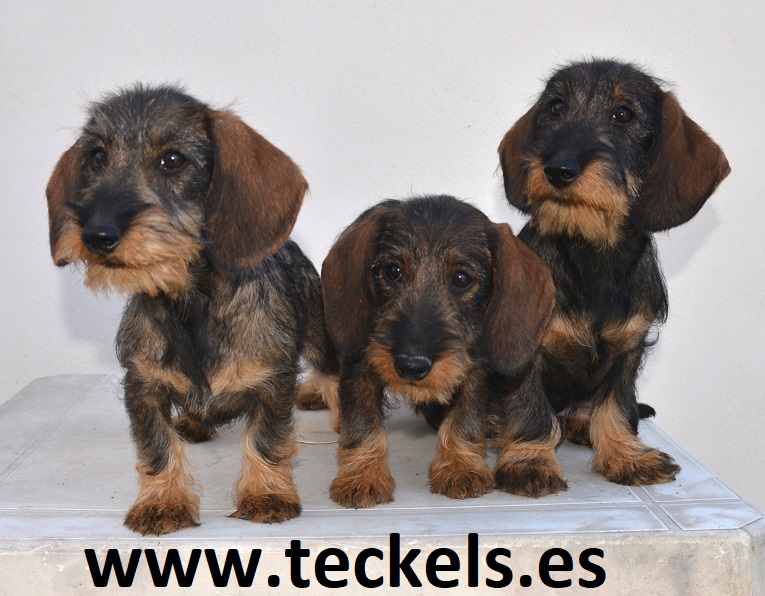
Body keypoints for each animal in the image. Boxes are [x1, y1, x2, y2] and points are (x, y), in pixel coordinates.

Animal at [46, 85, 338, 534]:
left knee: (332, 377)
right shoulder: (142, 386)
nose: (97, 234)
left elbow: (265, 440)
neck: (191, 304)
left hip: (320, 340)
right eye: (97, 156)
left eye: (172, 159)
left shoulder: (273, 382)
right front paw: (162, 502)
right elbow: (158, 447)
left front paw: (266, 494)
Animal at [321, 195, 567, 508]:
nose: (411, 365)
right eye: (393, 271)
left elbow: (465, 418)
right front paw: (362, 475)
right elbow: (363, 424)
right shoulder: (358, 366)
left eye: (461, 278)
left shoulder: (475, 370)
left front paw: (460, 466)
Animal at [498, 59, 730, 485]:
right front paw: (530, 461)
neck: (594, 255)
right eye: (555, 108)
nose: (558, 169)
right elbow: (531, 409)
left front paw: (626, 455)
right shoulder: (526, 352)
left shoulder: (628, 348)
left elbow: (615, 407)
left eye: (623, 114)